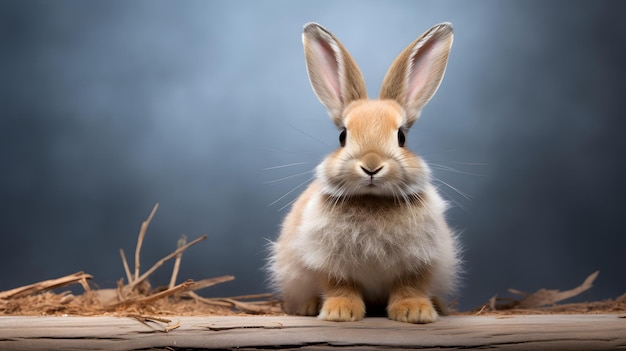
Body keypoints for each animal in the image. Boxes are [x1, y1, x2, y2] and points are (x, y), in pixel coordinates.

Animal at [266, 21, 460, 324]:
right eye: (342, 136)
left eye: (401, 137)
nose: (371, 165)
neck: (372, 200)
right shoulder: (329, 262)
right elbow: (340, 285)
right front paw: (340, 312)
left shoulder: (420, 260)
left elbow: (410, 285)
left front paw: (415, 313)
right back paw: (310, 306)